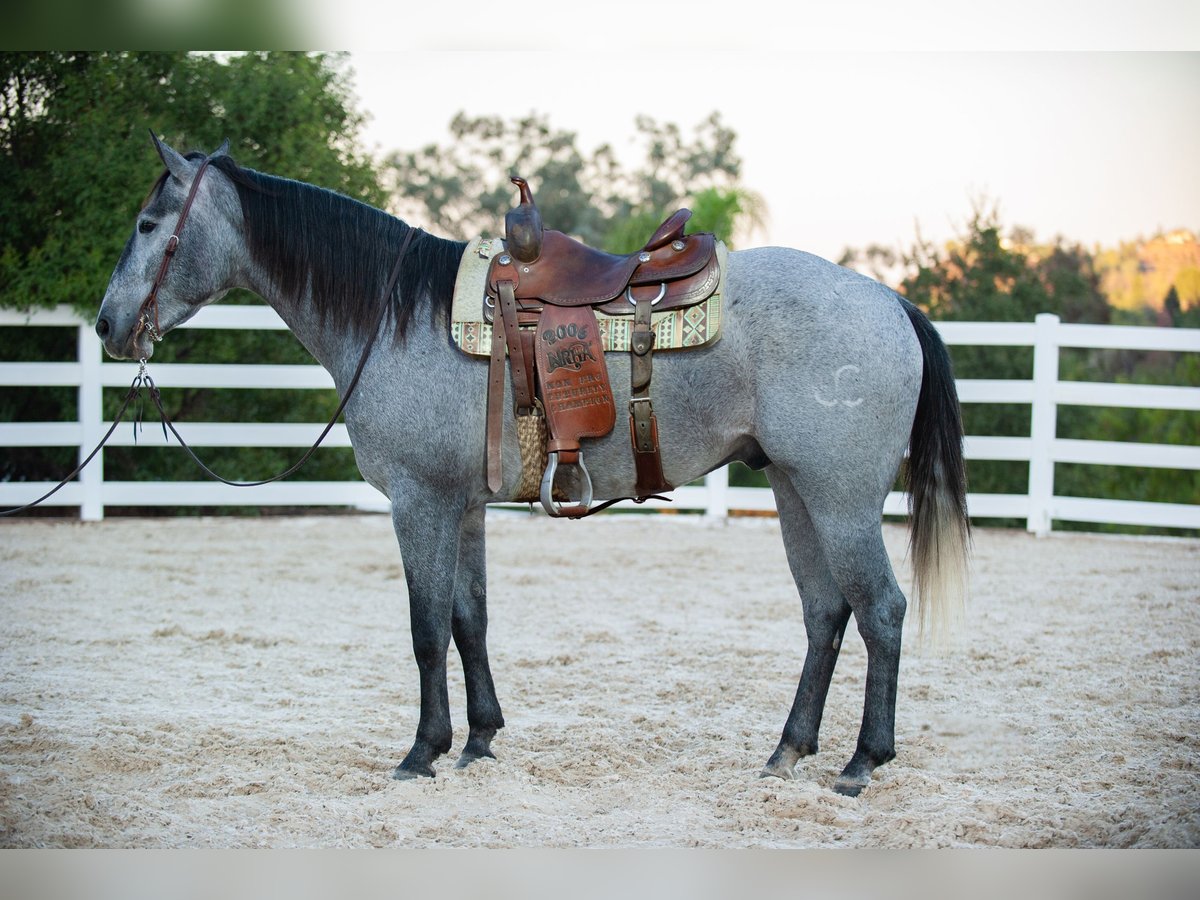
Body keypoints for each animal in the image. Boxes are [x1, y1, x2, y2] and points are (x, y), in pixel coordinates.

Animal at [98, 133, 969, 796]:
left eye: (146, 223)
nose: (108, 324)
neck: (396, 315)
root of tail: (891, 301)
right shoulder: (462, 505)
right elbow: (468, 619)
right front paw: (480, 739)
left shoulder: (419, 502)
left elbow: (425, 628)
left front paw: (422, 752)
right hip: (795, 491)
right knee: (825, 614)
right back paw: (788, 750)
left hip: (841, 499)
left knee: (881, 610)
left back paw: (862, 761)